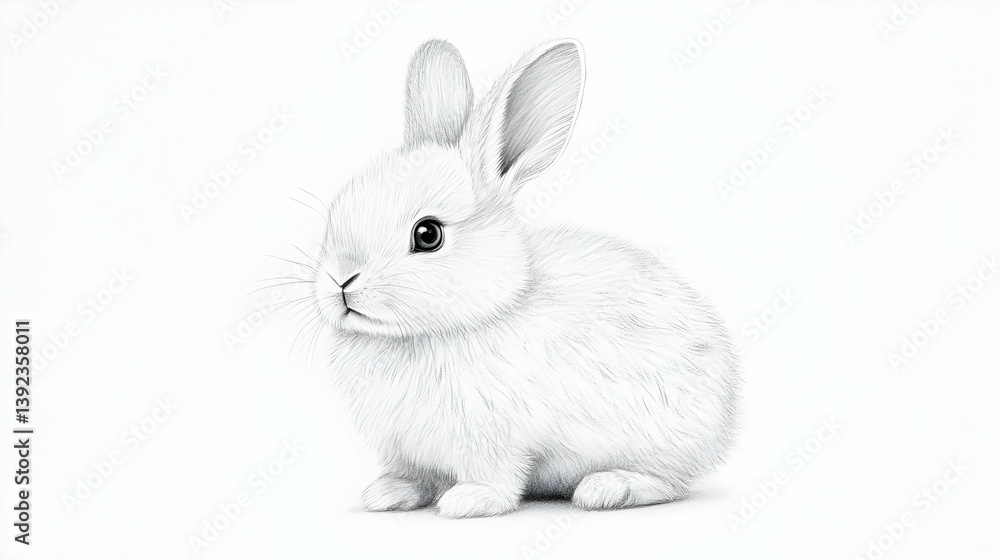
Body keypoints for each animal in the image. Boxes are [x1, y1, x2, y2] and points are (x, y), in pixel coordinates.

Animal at [310, 38, 740, 518]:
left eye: (428, 234)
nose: (340, 281)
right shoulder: (405, 447)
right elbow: (414, 474)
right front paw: (387, 493)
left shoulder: (491, 436)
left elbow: (495, 475)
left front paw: (469, 501)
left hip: (661, 440)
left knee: (669, 483)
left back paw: (607, 488)